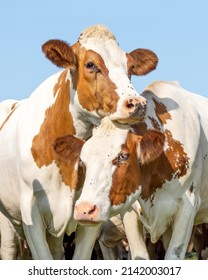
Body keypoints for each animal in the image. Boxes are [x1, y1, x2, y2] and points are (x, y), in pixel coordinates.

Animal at [0, 24, 158, 260]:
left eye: (130, 66)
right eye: (91, 64)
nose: (137, 103)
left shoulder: (90, 211)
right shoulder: (31, 214)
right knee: (9, 249)